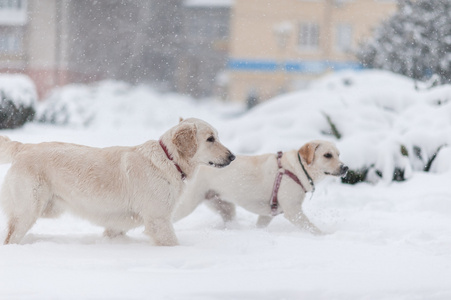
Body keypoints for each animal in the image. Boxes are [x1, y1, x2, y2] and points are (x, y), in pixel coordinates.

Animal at [0, 118, 237, 246]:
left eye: (217, 136)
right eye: (210, 139)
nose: (233, 156)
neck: (168, 159)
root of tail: (24, 147)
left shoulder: (117, 224)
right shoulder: (158, 220)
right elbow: (172, 243)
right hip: (28, 210)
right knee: (10, 238)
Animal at [172, 141, 346, 234]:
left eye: (339, 154)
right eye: (327, 155)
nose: (345, 168)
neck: (296, 169)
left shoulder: (267, 215)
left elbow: (260, 225)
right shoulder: (293, 211)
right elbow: (313, 229)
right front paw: (325, 235)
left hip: (224, 207)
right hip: (187, 205)